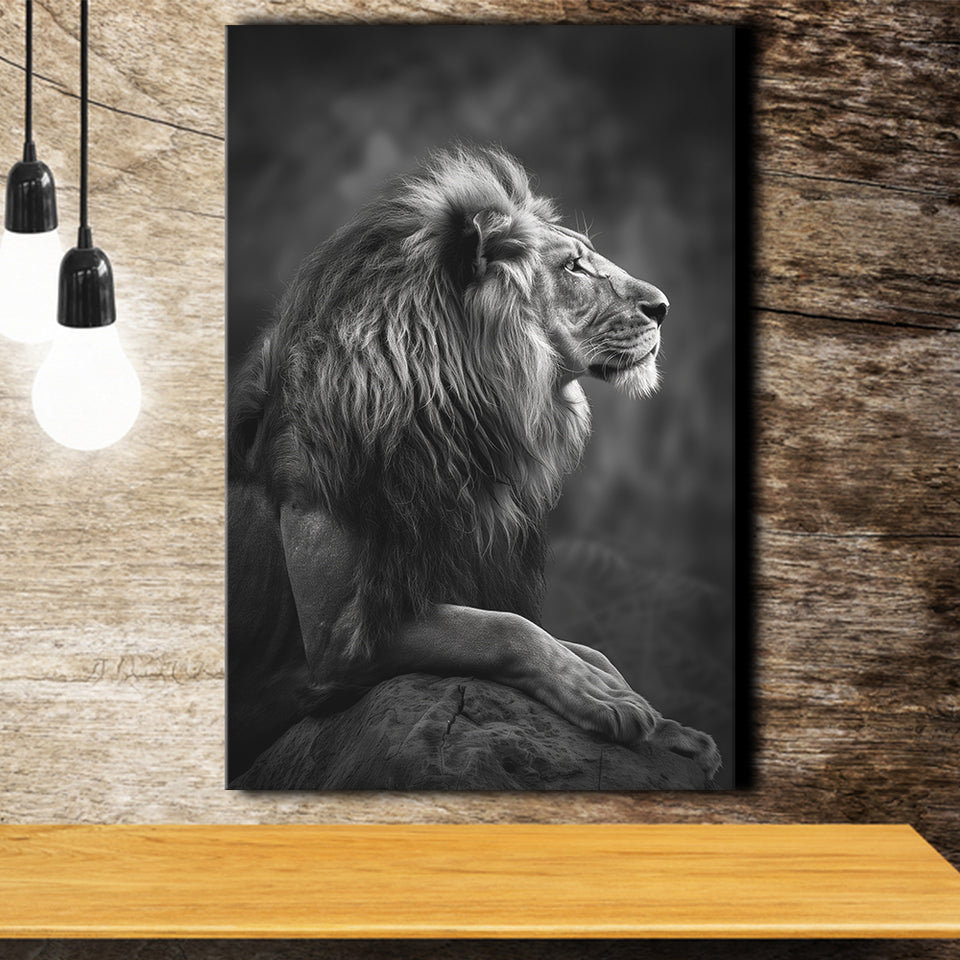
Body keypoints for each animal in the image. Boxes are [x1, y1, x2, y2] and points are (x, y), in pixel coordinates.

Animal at [227, 145, 721, 783]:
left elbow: (585, 647)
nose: (662, 308)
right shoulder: (335, 642)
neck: (457, 422)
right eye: (574, 267)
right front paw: (603, 698)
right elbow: (506, 629)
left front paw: (665, 725)